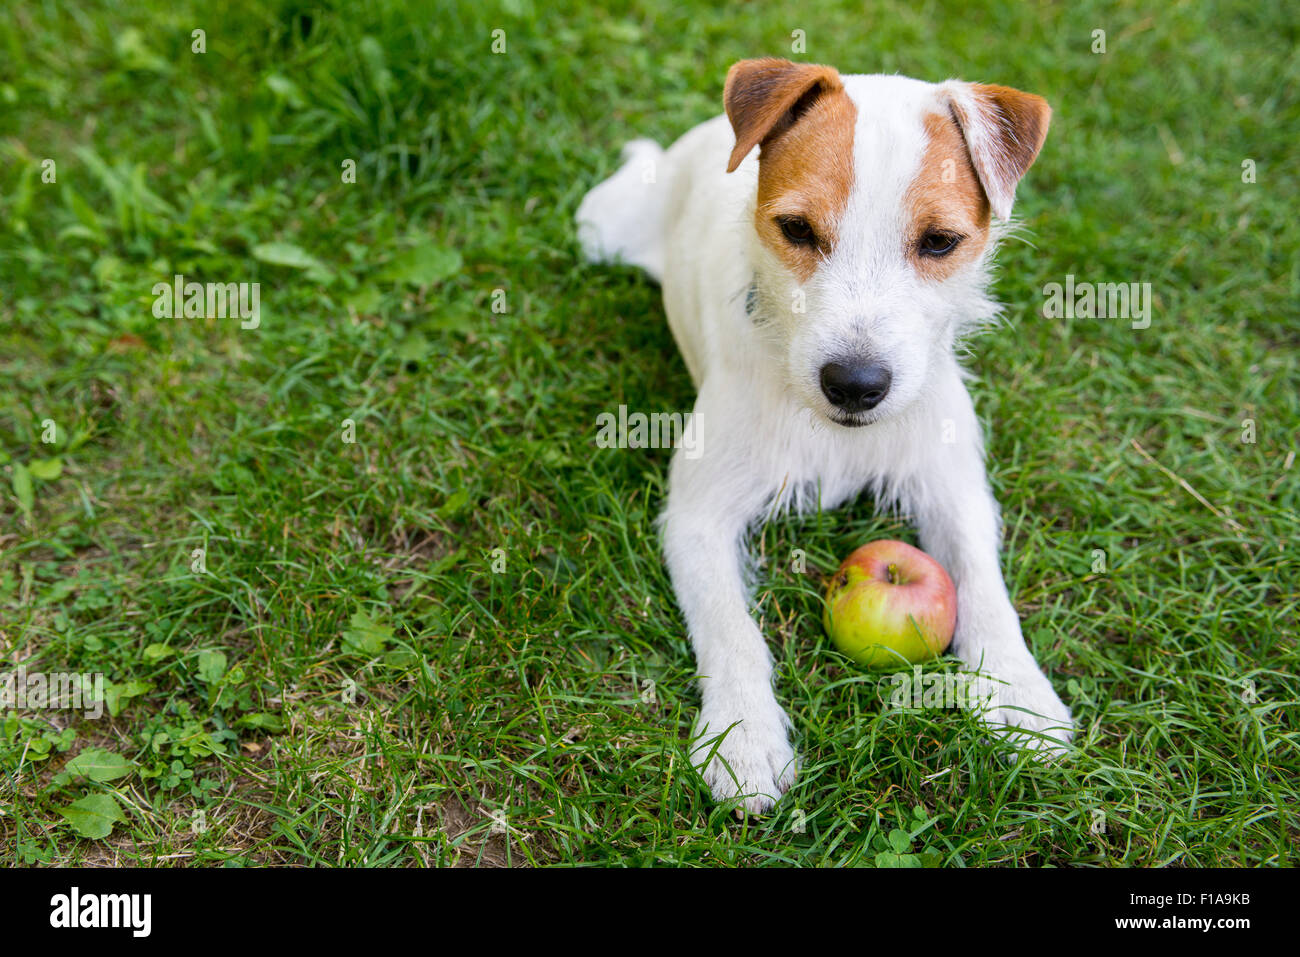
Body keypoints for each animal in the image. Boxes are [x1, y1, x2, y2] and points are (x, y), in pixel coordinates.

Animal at [579, 57, 1076, 816]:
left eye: (940, 242)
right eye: (796, 228)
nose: (855, 383)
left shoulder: (953, 488)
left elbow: (985, 585)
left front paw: (1020, 694)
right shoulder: (697, 516)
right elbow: (731, 628)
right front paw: (742, 736)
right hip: (600, 228)